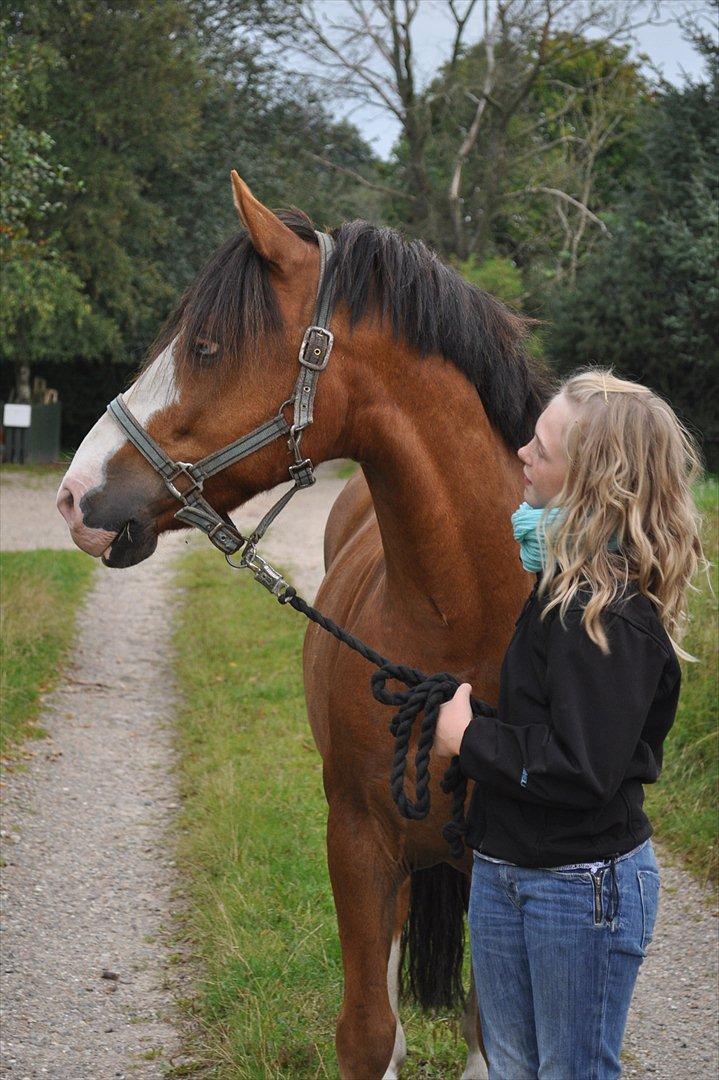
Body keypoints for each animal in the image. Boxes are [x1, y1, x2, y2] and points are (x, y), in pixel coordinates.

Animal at [57, 172, 548, 1075]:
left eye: (207, 346)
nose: (75, 497)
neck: (466, 623)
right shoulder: (355, 840)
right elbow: (366, 1031)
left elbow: (494, 1033)